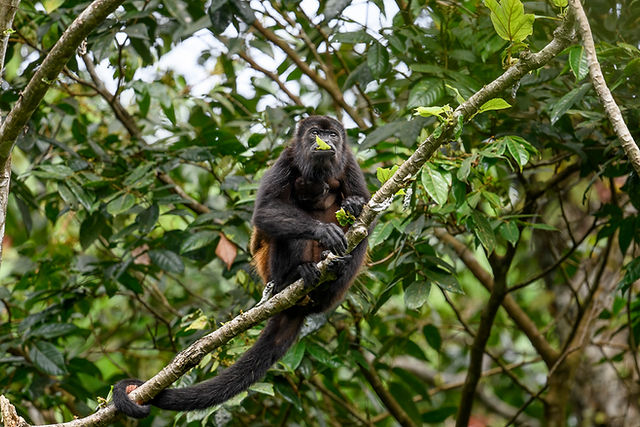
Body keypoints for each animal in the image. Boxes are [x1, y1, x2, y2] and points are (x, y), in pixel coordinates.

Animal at [112, 116, 370, 418]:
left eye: (333, 135)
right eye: (315, 132)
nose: (325, 142)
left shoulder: (349, 163)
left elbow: (365, 211)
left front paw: (354, 205)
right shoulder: (286, 160)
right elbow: (266, 211)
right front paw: (322, 230)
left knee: (360, 236)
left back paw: (335, 271)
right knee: (287, 233)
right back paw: (296, 275)